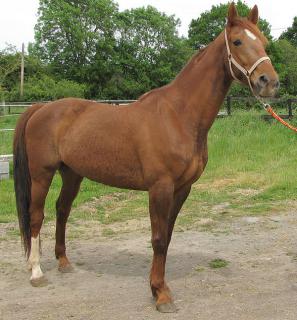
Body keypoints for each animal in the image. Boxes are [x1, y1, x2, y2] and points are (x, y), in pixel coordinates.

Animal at [13, 2, 278, 312]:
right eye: (237, 42)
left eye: (264, 41)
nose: (269, 82)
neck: (178, 116)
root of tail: (41, 108)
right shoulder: (160, 188)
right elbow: (159, 238)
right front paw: (160, 294)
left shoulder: (182, 189)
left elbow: (168, 236)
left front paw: (158, 287)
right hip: (41, 174)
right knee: (36, 215)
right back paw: (36, 271)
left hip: (72, 173)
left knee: (62, 210)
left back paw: (64, 262)